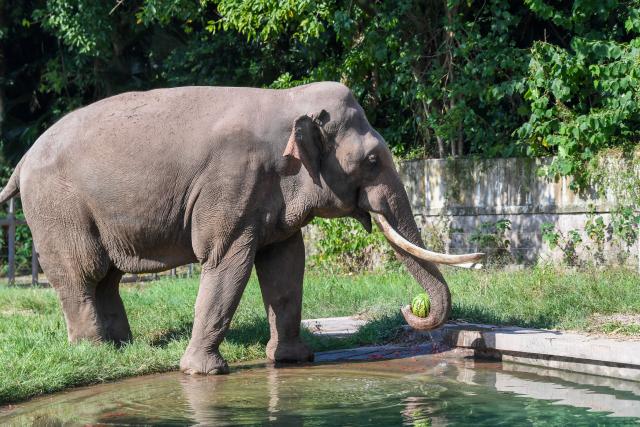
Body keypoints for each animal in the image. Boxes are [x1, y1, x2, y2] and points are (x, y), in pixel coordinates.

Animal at [0, 82, 482, 374]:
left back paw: (123, 348)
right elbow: (227, 263)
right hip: (58, 209)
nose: (410, 308)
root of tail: (22, 160)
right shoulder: (231, 184)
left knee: (108, 278)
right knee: (82, 276)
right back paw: (94, 352)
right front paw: (203, 372)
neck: (288, 101)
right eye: (371, 160)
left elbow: (286, 264)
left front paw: (294, 361)